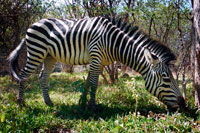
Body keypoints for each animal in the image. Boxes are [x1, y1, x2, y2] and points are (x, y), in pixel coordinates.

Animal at [8, 16, 186, 110]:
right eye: (166, 78)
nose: (183, 104)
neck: (114, 43)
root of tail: (33, 25)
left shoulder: (99, 62)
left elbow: (88, 83)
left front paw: (82, 103)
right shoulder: (95, 57)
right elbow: (94, 83)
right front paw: (93, 107)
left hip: (49, 56)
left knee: (42, 78)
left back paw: (49, 102)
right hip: (36, 51)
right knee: (23, 75)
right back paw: (20, 103)